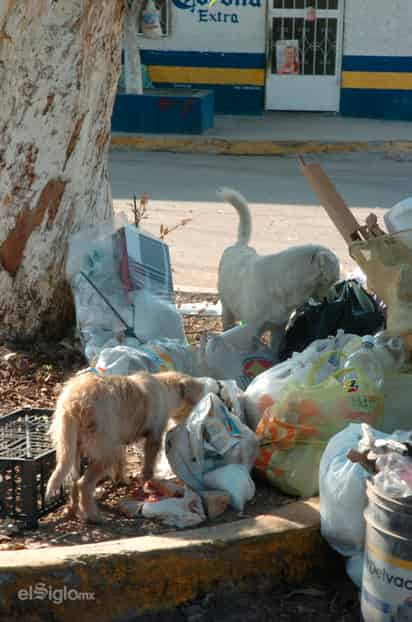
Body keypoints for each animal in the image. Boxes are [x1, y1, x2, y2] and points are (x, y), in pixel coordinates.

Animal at [45, 372, 204, 524]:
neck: (165, 388)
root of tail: (72, 403)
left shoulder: (120, 442)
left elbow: (122, 462)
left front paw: (122, 480)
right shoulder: (153, 439)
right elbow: (148, 468)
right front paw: (150, 483)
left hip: (74, 449)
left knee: (74, 481)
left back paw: (73, 510)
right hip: (106, 452)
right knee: (84, 484)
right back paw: (93, 517)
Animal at [217, 188, 340, 356]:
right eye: (332, 280)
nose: (336, 298)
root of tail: (239, 245)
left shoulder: (279, 329)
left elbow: (274, 351)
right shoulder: (251, 330)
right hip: (227, 310)